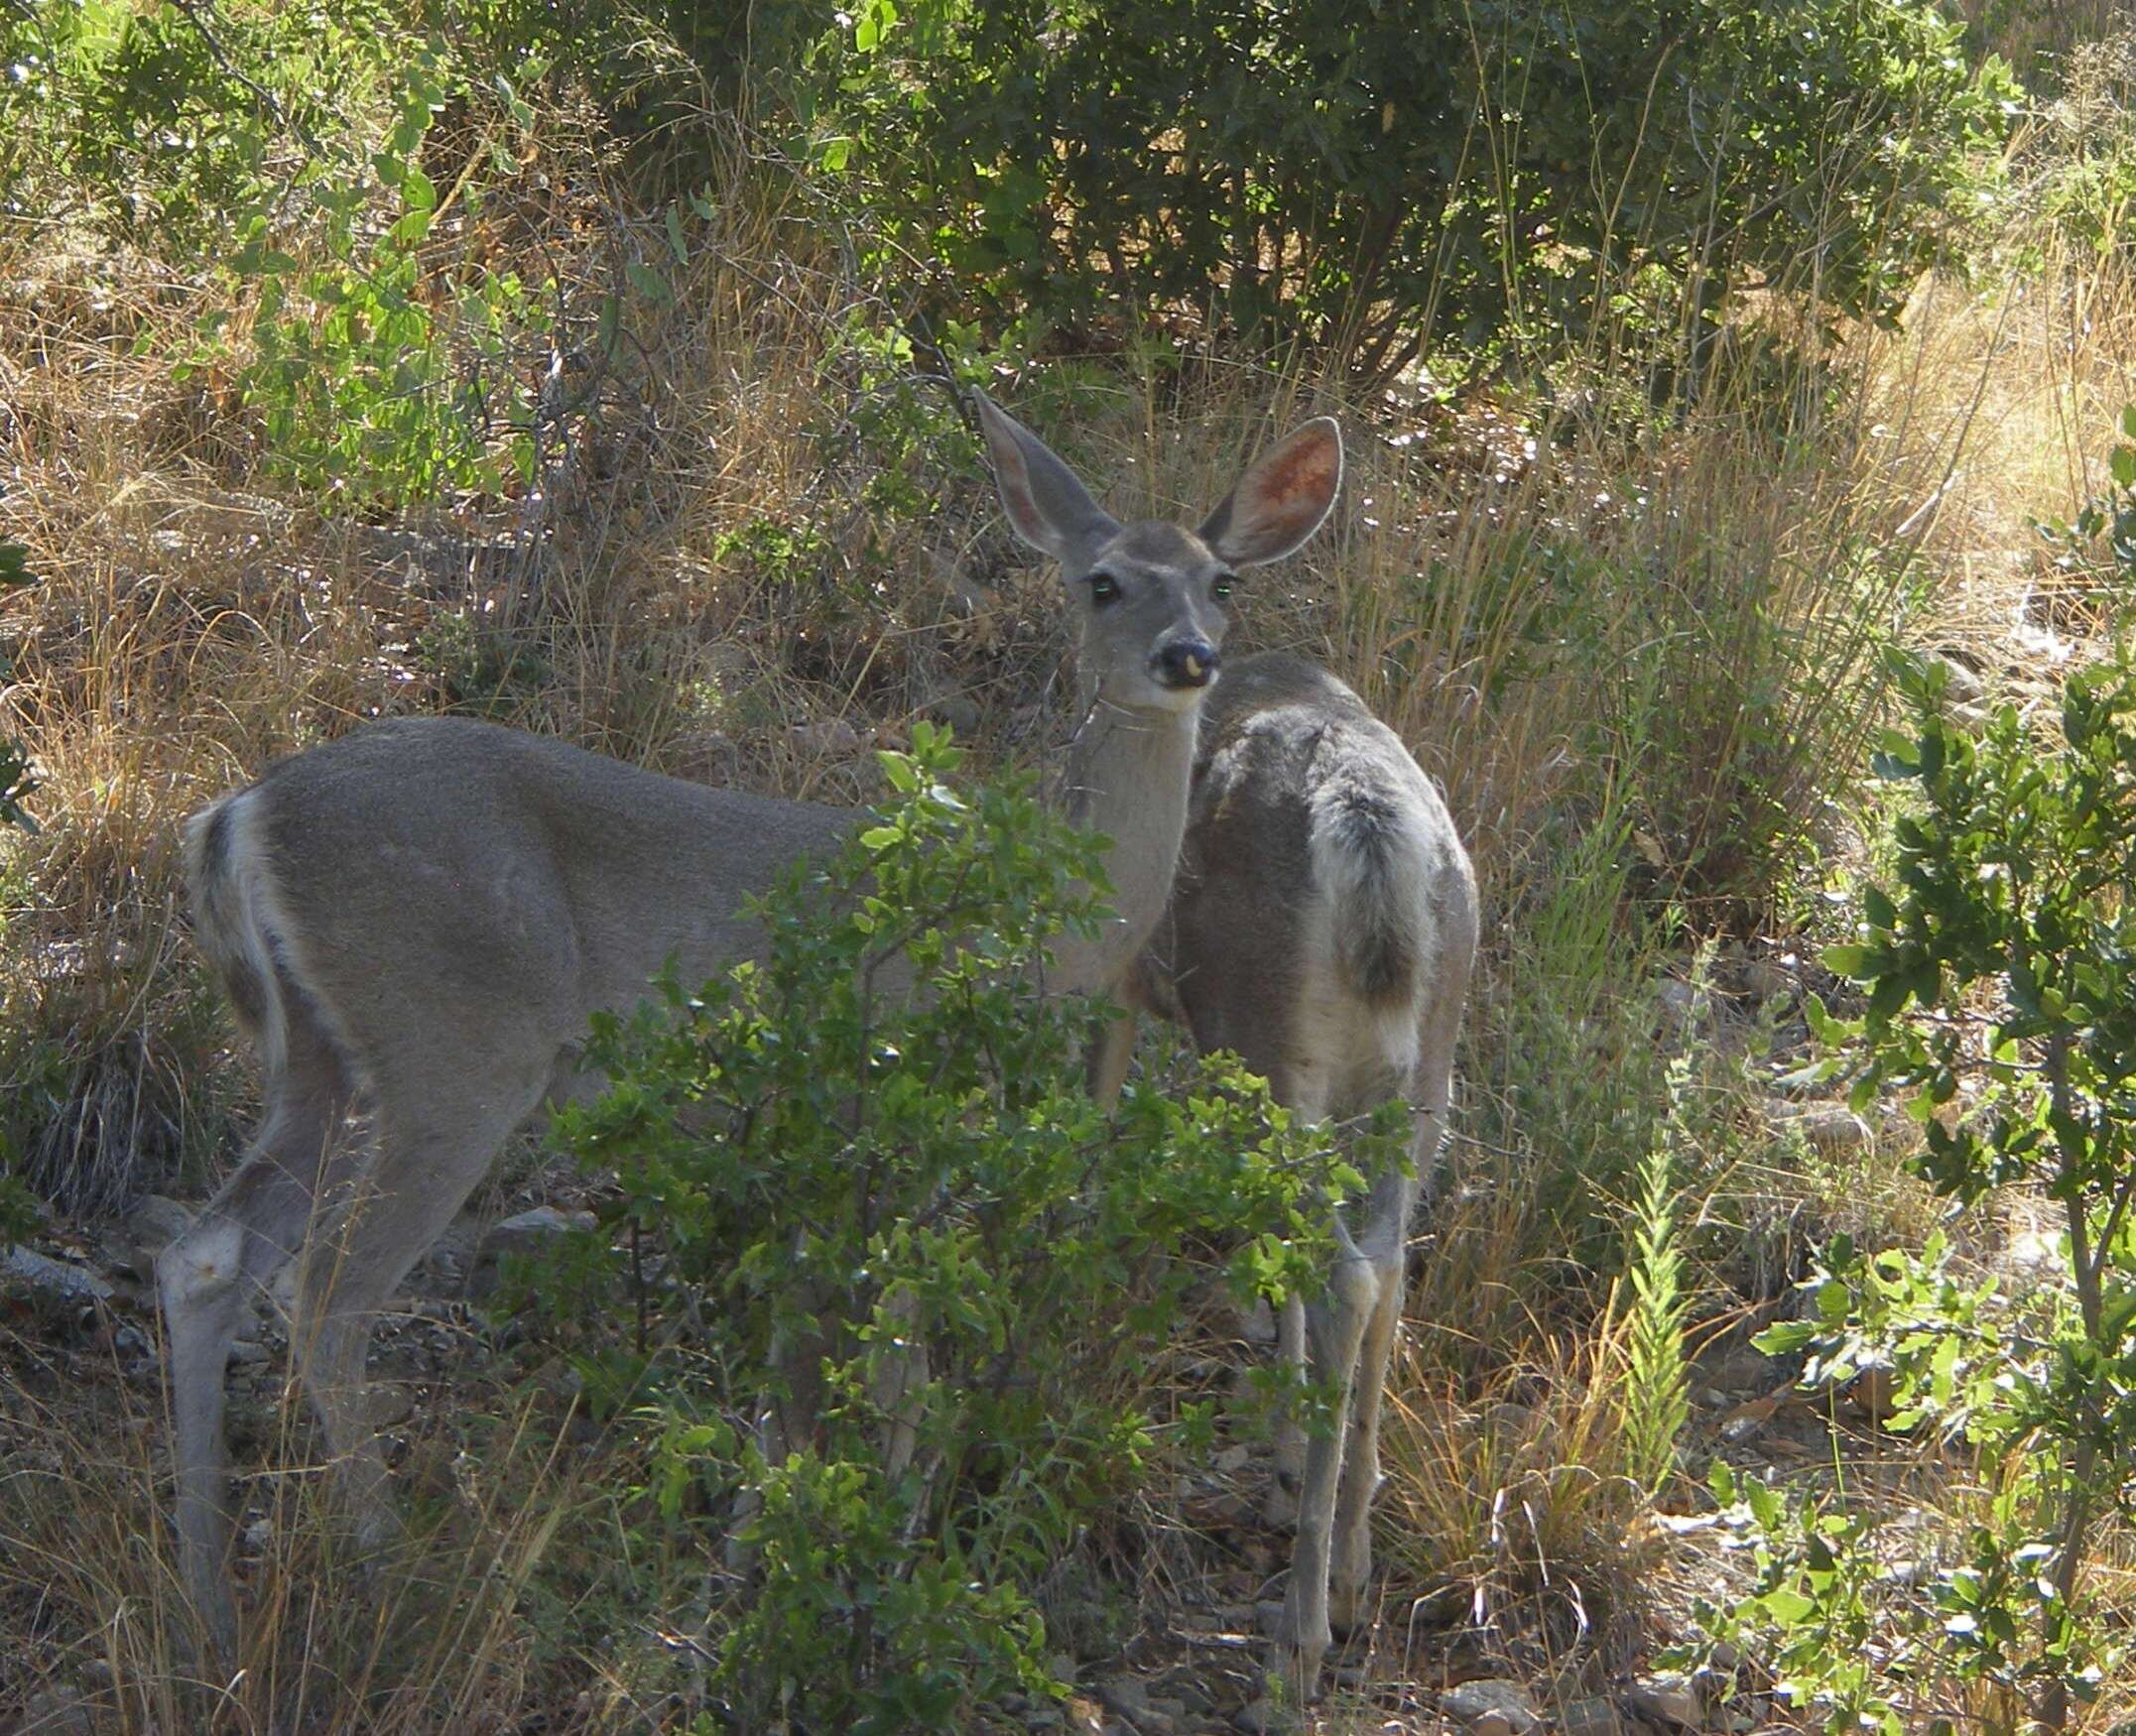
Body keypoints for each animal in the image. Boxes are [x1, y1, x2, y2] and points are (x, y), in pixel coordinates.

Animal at [166, 397, 1332, 1648]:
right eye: (1104, 582)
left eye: (1221, 582)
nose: (1188, 657)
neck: (1024, 921)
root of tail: (241, 812)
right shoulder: (880, 1091)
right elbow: (886, 1364)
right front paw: (860, 1563)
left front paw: (792, 1540)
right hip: (452, 1045)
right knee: (327, 1294)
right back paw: (389, 1565)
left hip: (323, 1053)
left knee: (205, 1255)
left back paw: (207, 1595)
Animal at [1093, 645, 1477, 1690]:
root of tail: (1371, 834)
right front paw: (1284, 1449)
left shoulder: (1116, 964)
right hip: (1422, 1072)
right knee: (1383, 1265)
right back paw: (1349, 1567)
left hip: (1264, 1037)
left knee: (1344, 1269)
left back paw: (1301, 1628)